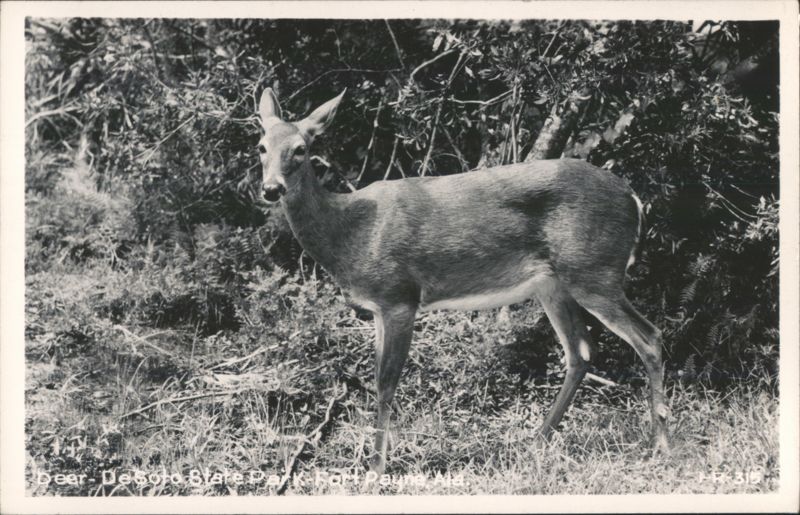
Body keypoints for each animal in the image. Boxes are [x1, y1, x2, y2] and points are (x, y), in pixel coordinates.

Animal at [255, 87, 669, 474]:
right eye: (261, 147)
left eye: (301, 149)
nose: (271, 188)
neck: (350, 232)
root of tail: (634, 198)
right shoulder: (377, 308)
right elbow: (376, 377)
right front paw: (372, 461)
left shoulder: (400, 296)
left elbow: (386, 383)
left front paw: (376, 468)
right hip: (554, 283)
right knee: (581, 351)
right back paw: (535, 442)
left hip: (595, 270)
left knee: (649, 337)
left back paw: (660, 447)